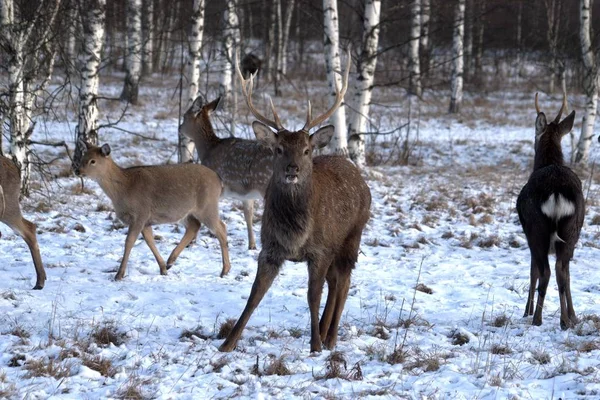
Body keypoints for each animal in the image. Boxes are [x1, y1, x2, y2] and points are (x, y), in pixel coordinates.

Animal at [76, 142, 231, 280]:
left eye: (93, 161)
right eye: (83, 157)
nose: (77, 170)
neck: (124, 189)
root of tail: (219, 181)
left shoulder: (140, 213)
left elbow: (129, 241)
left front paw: (119, 275)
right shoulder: (146, 220)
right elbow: (150, 241)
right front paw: (163, 268)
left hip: (207, 206)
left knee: (221, 228)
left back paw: (225, 270)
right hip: (187, 212)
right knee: (195, 226)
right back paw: (170, 261)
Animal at [178, 96, 272, 250]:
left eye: (185, 116)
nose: (179, 127)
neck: (208, 150)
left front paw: (192, 242)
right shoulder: (246, 195)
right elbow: (248, 215)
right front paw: (252, 245)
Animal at [218, 50, 372, 354]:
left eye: (307, 150)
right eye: (279, 149)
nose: (293, 169)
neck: (295, 235)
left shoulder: (320, 250)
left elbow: (312, 296)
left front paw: (315, 346)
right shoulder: (270, 249)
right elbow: (254, 295)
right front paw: (228, 343)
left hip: (352, 235)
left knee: (344, 281)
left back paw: (330, 338)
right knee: (335, 281)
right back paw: (325, 331)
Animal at [516, 92, 584, 330]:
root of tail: (556, 192)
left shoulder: (528, 235)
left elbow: (532, 271)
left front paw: (526, 311)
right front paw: (573, 315)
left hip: (536, 228)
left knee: (545, 270)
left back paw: (537, 318)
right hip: (572, 229)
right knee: (562, 270)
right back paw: (566, 320)